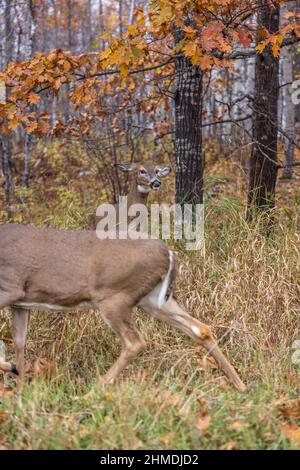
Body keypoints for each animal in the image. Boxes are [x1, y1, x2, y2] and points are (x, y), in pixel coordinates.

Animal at [0, 224, 246, 392]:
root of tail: (169, 253)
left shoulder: (9, 289)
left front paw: (14, 373)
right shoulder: (20, 303)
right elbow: (20, 341)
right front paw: (20, 388)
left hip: (114, 297)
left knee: (134, 342)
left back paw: (96, 388)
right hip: (154, 300)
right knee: (200, 328)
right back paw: (240, 385)